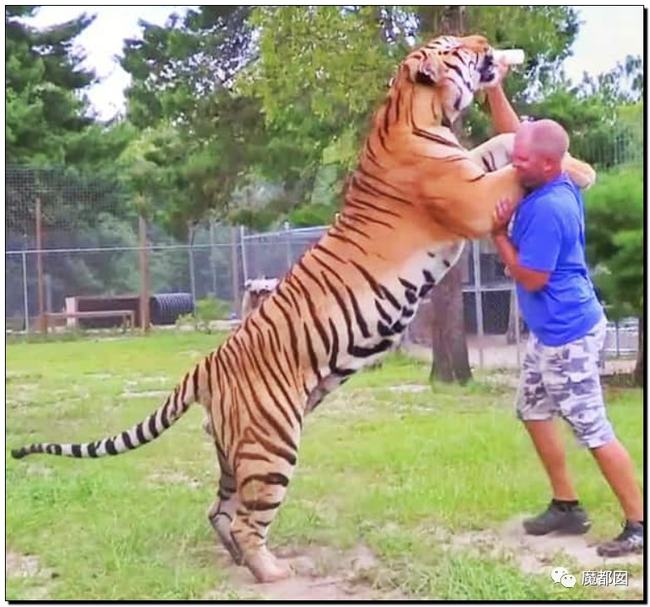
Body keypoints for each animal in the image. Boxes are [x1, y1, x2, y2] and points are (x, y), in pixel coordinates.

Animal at [11, 35, 596, 588]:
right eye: (455, 49)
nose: (481, 42)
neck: (414, 110)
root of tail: (205, 365)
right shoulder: (471, 198)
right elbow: (509, 163)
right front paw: (568, 162)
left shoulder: (472, 166)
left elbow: (500, 143)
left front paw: (577, 164)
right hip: (271, 445)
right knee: (247, 519)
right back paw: (271, 571)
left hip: (234, 451)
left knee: (219, 511)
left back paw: (241, 560)